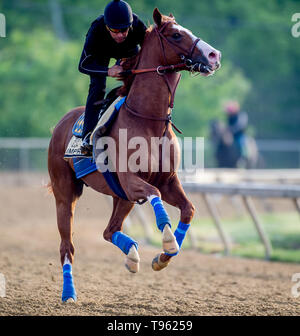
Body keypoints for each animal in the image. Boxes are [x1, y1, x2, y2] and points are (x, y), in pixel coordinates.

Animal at [48, 7, 221, 302]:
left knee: (109, 230)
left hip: (121, 196)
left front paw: (163, 257)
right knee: (67, 246)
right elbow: (155, 194)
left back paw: (131, 256)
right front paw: (167, 241)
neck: (149, 121)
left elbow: (188, 209)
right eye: (176, 35)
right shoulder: (131, 180)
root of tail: (60, 123)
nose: (214, 55)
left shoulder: (167, 180)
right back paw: (69, 293)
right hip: (65, 195)